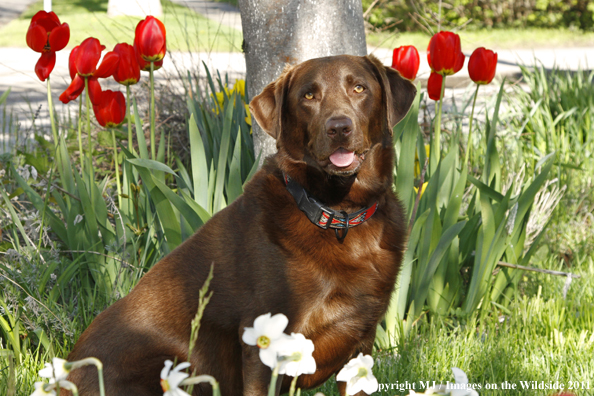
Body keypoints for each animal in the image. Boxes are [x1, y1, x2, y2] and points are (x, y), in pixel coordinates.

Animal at [65, 55, 414, 396]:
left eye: (359, 88)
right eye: (308, 96)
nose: (339, 127)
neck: (337, 214)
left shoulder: (361, 345)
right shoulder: (264, 344)